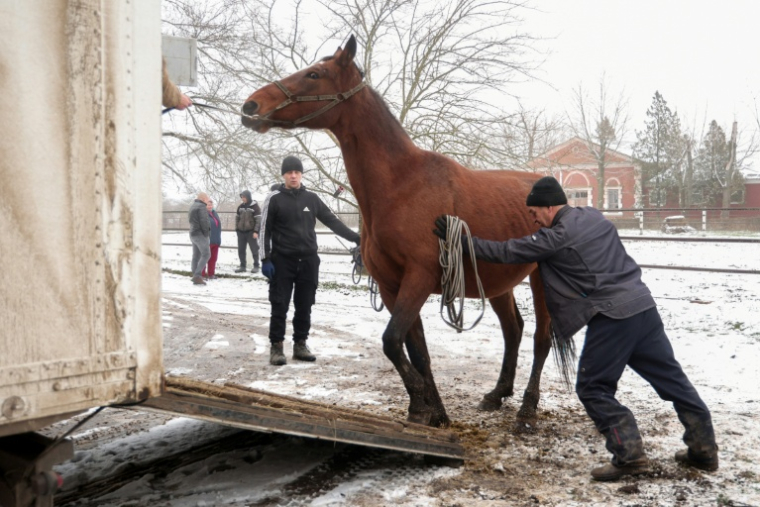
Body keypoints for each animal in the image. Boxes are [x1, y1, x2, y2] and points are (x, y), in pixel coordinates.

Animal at [241, 35, 573, 429]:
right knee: (513, 330)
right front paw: (430, 411)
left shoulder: (418, 277)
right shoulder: (390, 285)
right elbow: (415, 349)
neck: (401, 186)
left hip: (539, 280)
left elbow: (391, 341)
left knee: (541, 338)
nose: (251, 106)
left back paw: (527, 409)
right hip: (496, 282)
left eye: (314, 74)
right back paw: (496, 394)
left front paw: (422, 402)